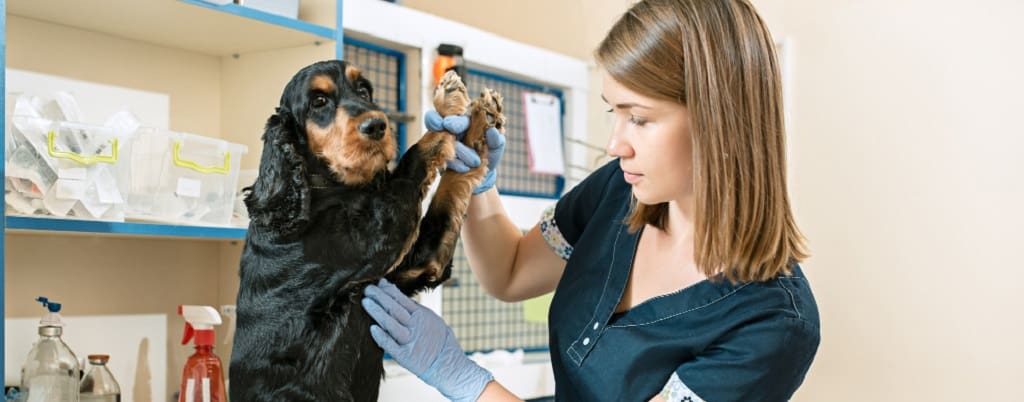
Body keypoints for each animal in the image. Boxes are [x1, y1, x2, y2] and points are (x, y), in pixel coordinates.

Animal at [230, 60, 505, 400]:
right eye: (318, 101)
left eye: (363, 90)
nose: (376, 126)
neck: (327, 190)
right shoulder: (381, 232)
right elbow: (415, 155)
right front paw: (450, 100)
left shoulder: (419, 263)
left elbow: (450, 188)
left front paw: (482, 117)